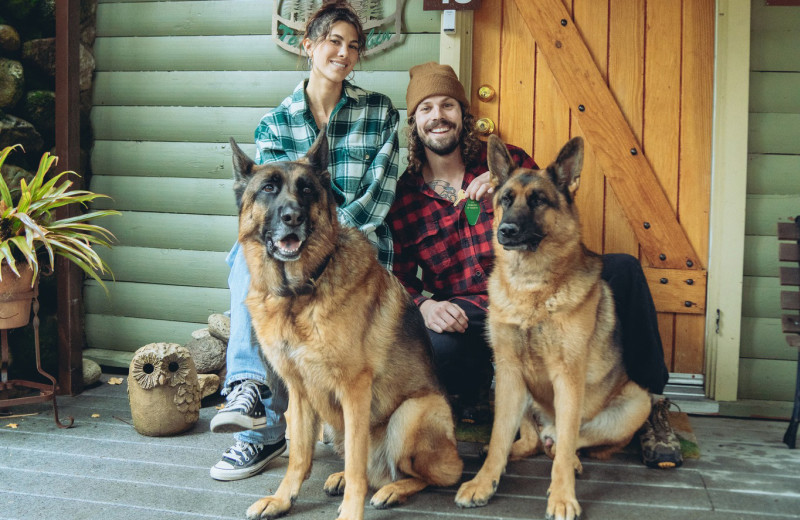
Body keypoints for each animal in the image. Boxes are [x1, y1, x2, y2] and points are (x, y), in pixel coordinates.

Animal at [230, 131, 462, 520]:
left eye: (307, 189)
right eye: (268, 188)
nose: (292, 216)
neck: (299, 294)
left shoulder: (354, 390)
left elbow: (356, 462)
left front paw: (351, 511)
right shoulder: (299, 390)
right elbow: (299, 457)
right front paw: (282, 498)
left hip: (411, 413)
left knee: (425, 476)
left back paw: (392, 490)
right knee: (372, 468)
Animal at [456, 135, 648, 520]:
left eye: (539, 201)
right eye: (505, 199)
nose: (506, 231)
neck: (531, 289)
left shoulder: (567, 376)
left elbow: (566, 442)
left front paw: (562, 497)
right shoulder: (509, 372)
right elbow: (499, 436)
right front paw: (484, 482)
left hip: (638, 401)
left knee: (565, 441)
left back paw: (570, 458)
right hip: (514, 391)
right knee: (531, 440)